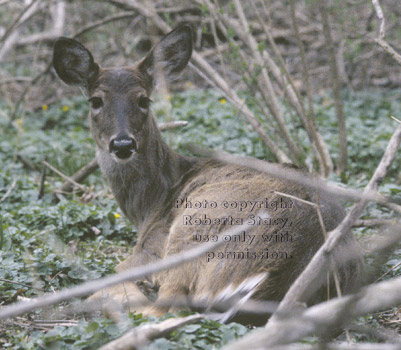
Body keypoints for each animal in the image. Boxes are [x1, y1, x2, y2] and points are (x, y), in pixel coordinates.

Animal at [51, 26, 360, 324]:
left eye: (144, 99)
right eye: (95, 101)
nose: (123, 144)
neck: (151, 205)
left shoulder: (149, 250)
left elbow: (117, 272)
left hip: (194, 228)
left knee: (164, 308)